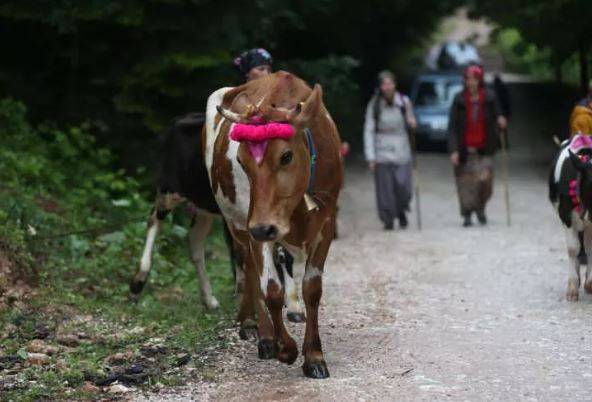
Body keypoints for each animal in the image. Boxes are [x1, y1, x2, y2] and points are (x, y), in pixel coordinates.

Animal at [131, 112, 306, 324]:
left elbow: (282, 253)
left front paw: (294, 307)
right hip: (170, 188)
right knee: (154, 219)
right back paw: (138, 281)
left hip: (203, 205)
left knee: (195, 240)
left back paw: (209, 300)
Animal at [205, 71, 342, 376]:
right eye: (242, 161)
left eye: (286, 156)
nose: (263, 228)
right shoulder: (256, 224)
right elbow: (271, 289)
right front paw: (286, 348)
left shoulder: (326, 222)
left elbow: (312, 289)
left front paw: (314, 356)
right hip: (238, 225)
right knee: (249, 270)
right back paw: (261, 333)